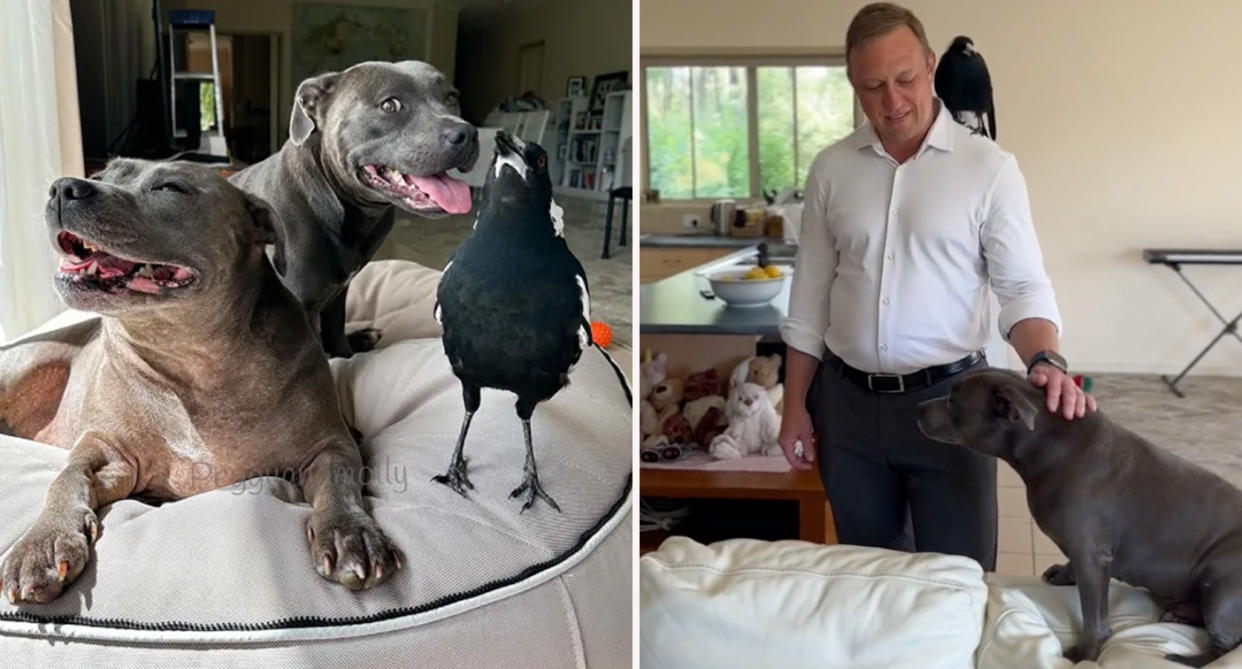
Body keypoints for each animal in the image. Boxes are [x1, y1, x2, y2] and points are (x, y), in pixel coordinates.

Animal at [0, 160, 399, 605]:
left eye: (170, 187)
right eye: (102, 173)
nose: (64, 187)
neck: (193, 362)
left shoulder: (328, 443)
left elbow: (340, 479)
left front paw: (350, 533)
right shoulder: (105, 450)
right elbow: (67, 477)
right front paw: (43, 541)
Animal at [231, 60, 476, 357]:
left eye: (452, 98)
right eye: (390, 105)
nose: (468, 133)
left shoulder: (339, 294)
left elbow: (336, 338)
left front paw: (347, 354)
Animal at [914, 369, 1242, 665]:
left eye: (953, 400)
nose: (917, 410)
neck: (1045, 443)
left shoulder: (1091, 556)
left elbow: (1094, 618)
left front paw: (1084, 654)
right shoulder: (1084, 551)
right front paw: (1062, 573)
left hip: (1221, 585)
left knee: (1225, 646)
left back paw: (1183, 656)